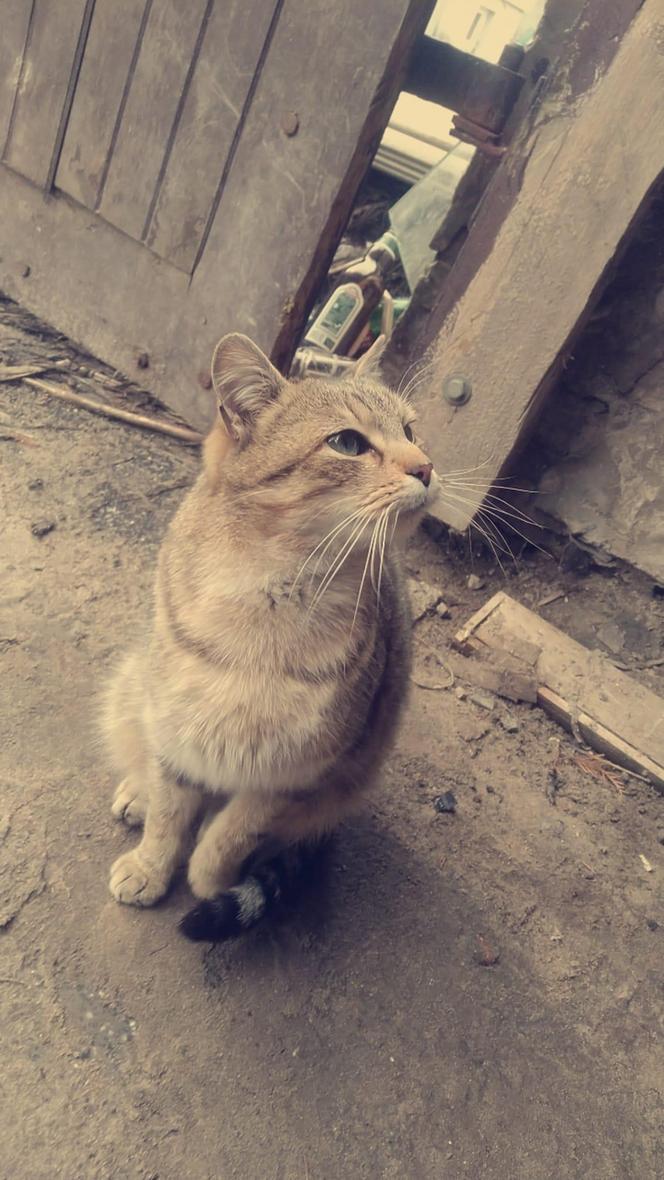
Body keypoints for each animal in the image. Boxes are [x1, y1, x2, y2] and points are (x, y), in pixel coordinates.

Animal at [102, 332, 436, 939]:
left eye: (411, 431)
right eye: (347, 443)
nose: (426, 467)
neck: (268, 597)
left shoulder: (299, 768)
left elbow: (234, 832)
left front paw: (210, 877)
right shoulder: (176, 725)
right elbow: (168, 811)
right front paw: (151, 864)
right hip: (132, 688)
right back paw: (137, 791)